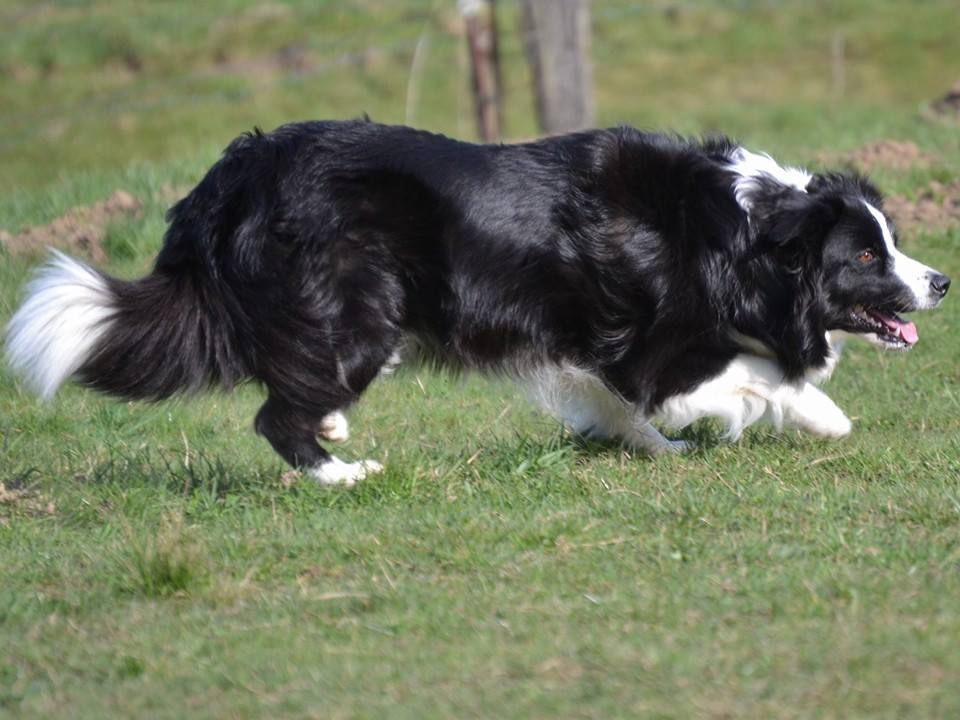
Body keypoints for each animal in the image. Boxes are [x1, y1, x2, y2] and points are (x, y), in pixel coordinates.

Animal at [5, 120, 950, 486]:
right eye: (867, 256)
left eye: (893, 240)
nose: (941, 281)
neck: (748, 234)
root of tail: (229, 178)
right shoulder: (656, 349)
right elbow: (751, 378)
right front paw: (820, 416)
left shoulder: (592, 349)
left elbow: (621, 403)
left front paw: (649, 446)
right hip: (362, 309)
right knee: (275, 415)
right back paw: (342, 471)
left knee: (295, 386)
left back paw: (333, 425)